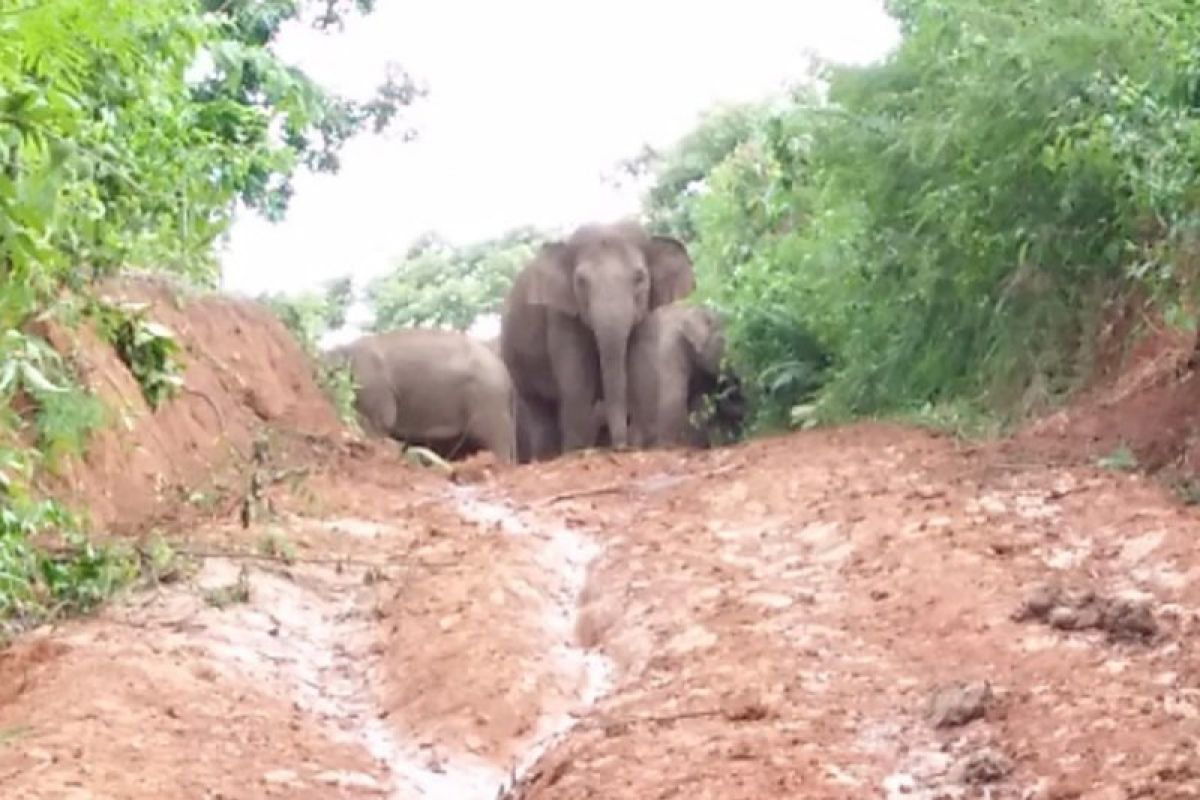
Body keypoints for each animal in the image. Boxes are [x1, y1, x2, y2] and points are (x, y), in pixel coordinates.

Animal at [501, 220, 700, 455]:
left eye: (640, 277)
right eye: (580, 281)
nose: (621, 447)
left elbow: (644, 365)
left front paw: (647, 446)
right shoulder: (562, 315)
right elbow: (576, 377)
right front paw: (577, 452)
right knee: (539, 408)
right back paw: (550, 456)